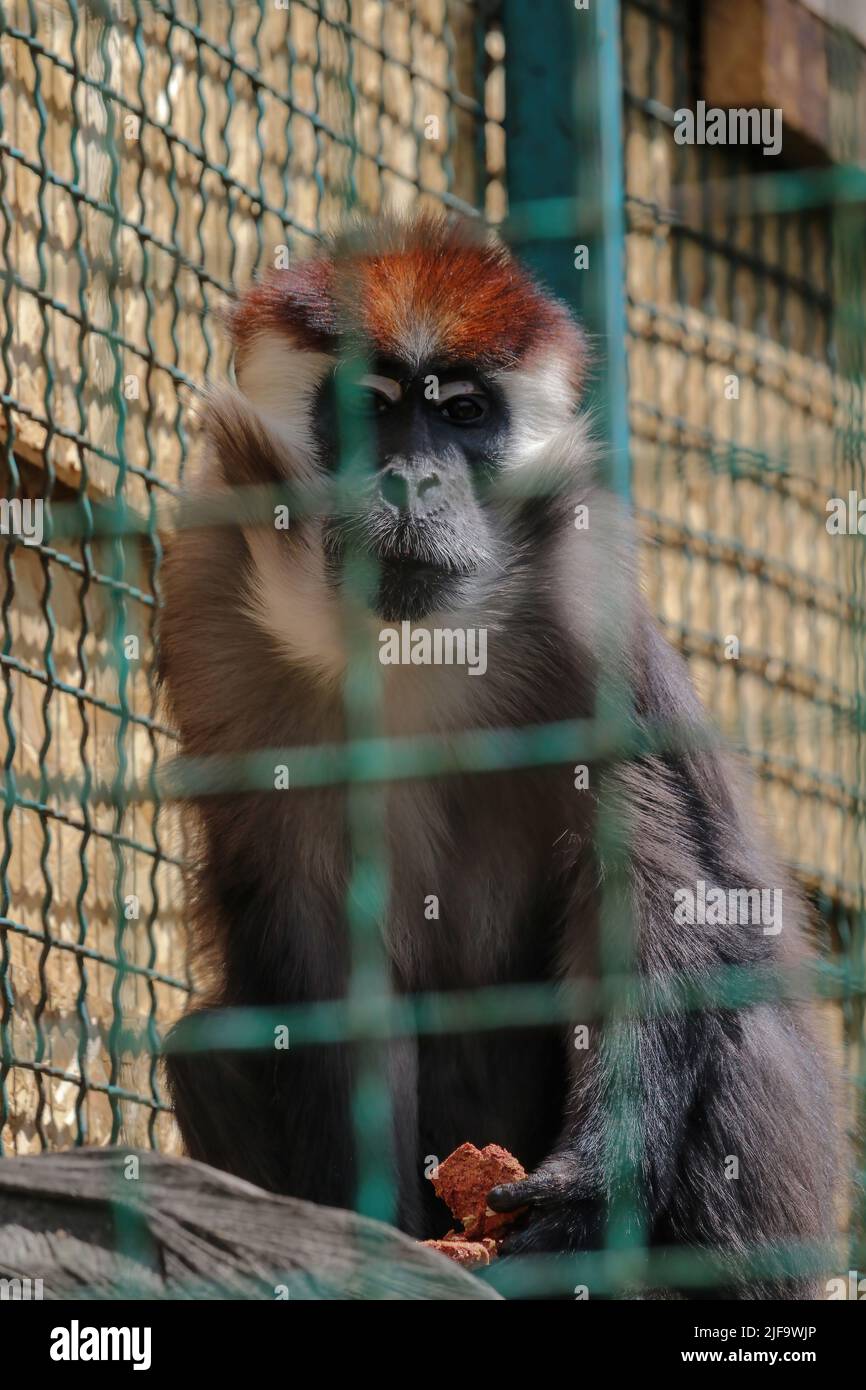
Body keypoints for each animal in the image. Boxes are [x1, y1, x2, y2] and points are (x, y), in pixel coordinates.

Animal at [159, 211, 839, 1295]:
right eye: (370, 409)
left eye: (466, 413)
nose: (412, 479)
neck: (408, 648)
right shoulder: (210, 602)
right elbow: (318, 942)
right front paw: (359, 1231)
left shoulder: (586, 603)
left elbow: (656, 886)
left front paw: (586, 1190)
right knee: (207, 1048)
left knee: (737, 1021)